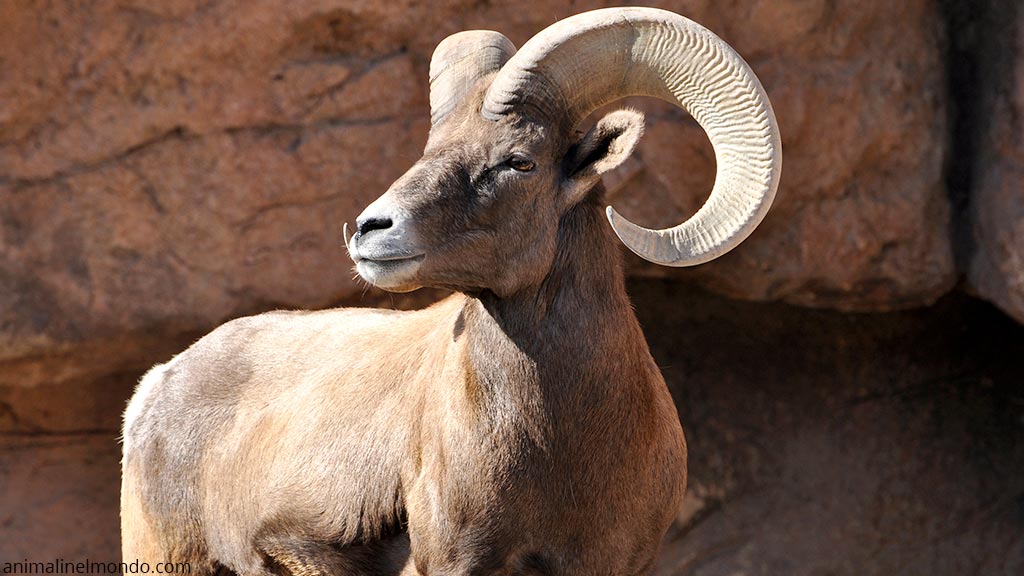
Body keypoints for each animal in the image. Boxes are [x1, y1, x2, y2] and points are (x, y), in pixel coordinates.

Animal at [120, 7, 781, 575]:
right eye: (430, 150)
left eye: (519, 161)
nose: (370, 229)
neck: (560, 449)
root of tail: (155, 388)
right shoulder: (458, 562)